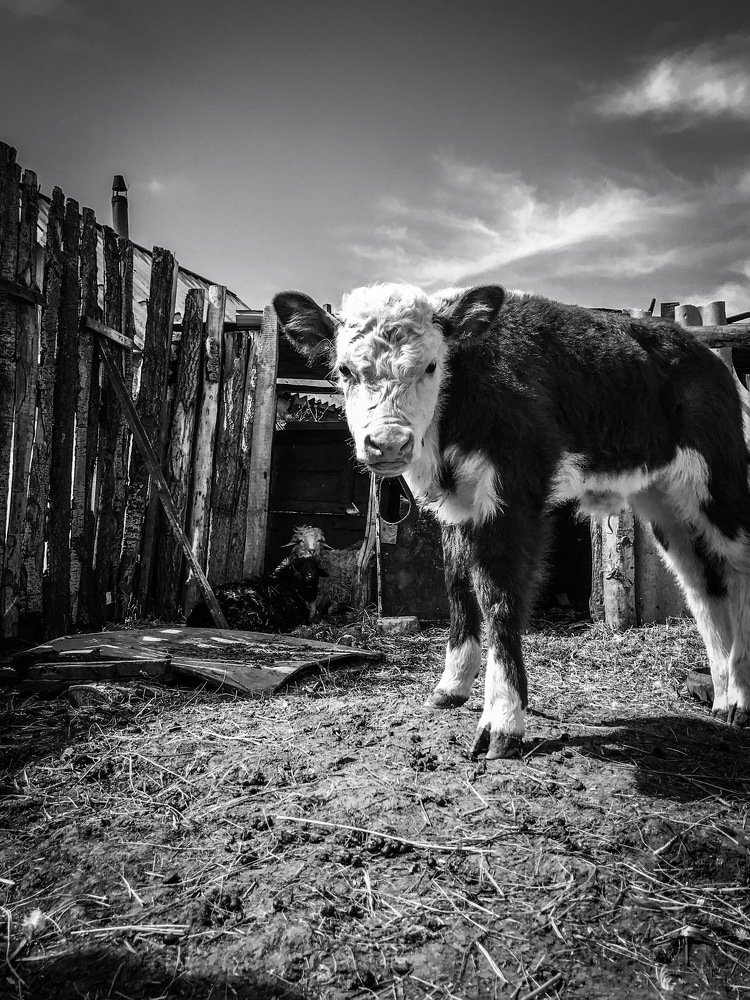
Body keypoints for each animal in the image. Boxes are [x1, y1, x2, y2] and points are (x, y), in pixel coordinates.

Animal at [273, 283, 750, 759]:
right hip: (664, 499)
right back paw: (721, 694)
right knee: (701, 585)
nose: (389, 442)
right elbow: (458, 588)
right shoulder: (456, 508)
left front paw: (501, 722)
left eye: (431, 365)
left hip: (721, 482)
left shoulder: (515, 500)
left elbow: (500, 598)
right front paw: (451, 687)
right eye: (344, 370)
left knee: (738, 565)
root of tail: (705, 353)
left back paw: (740, 699)